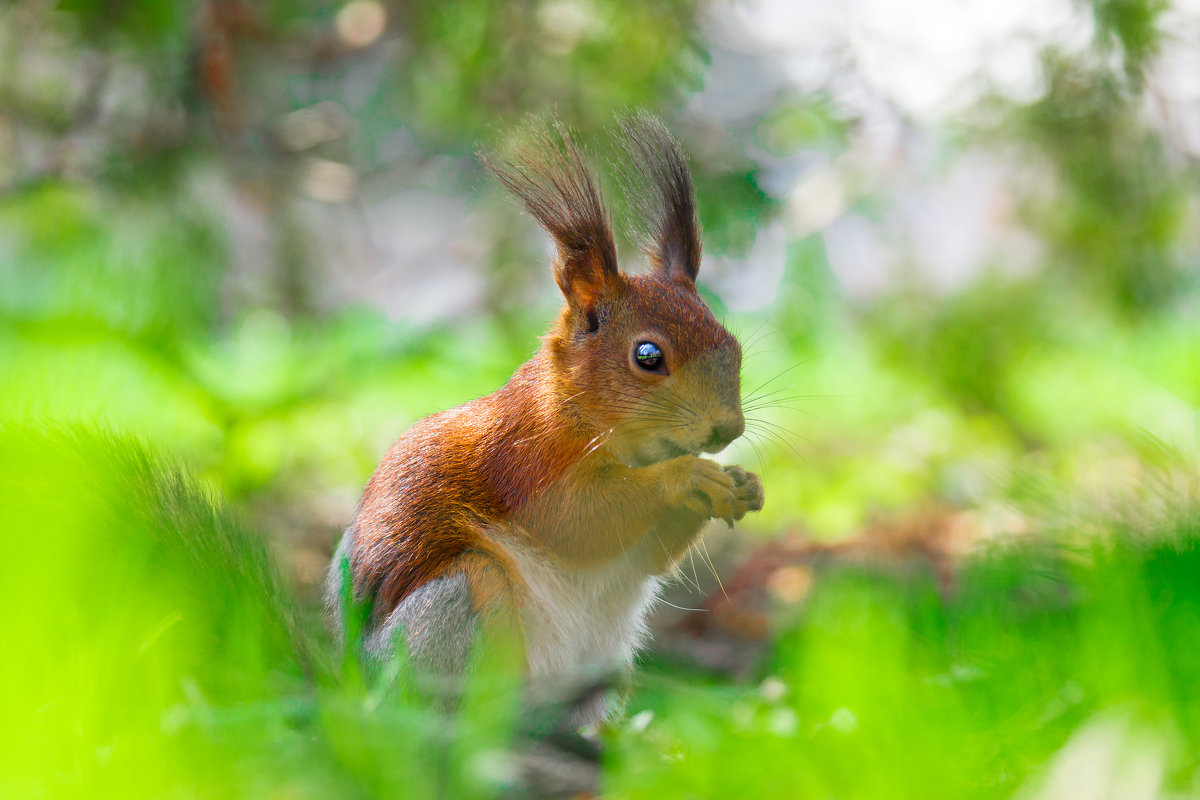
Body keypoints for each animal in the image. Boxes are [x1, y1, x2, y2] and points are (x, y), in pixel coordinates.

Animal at [324, 113, 763, 724]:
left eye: (734, 346)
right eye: (648, 356)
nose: (729, 430)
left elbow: (650, 555)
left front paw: (742, 484)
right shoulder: (522, 456)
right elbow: (576, 520)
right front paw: (688, 476)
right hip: (455, 611)